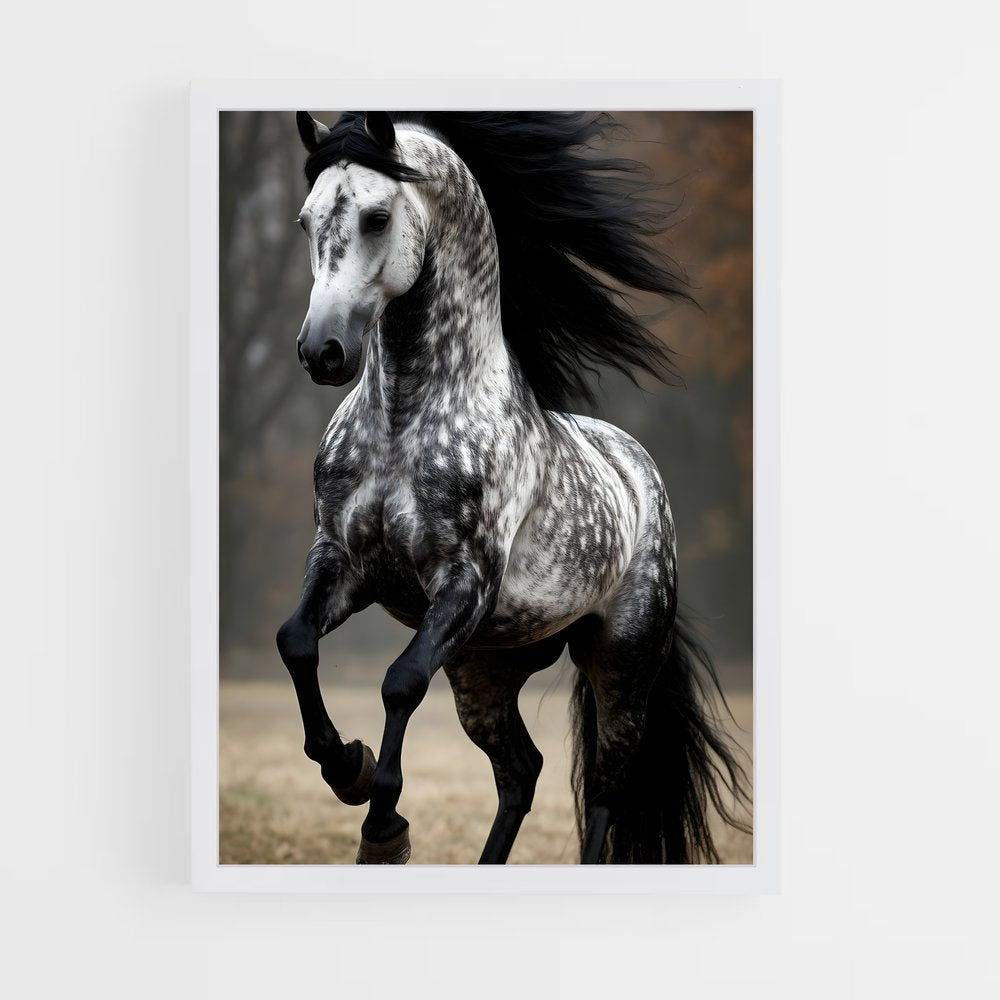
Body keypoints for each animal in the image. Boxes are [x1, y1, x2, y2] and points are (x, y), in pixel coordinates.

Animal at [275, 110, 751, 864]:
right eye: (305, 219)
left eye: (378, 216)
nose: (322, 352)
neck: (407, 421)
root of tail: (639, 471)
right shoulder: (342, 561)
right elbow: (295, 641)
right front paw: (347, 769)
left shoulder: (464, 581)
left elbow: (400, 683)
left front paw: (382, 828)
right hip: (484, 669)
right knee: (521, 773)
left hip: (619, 665)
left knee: (608, 788)